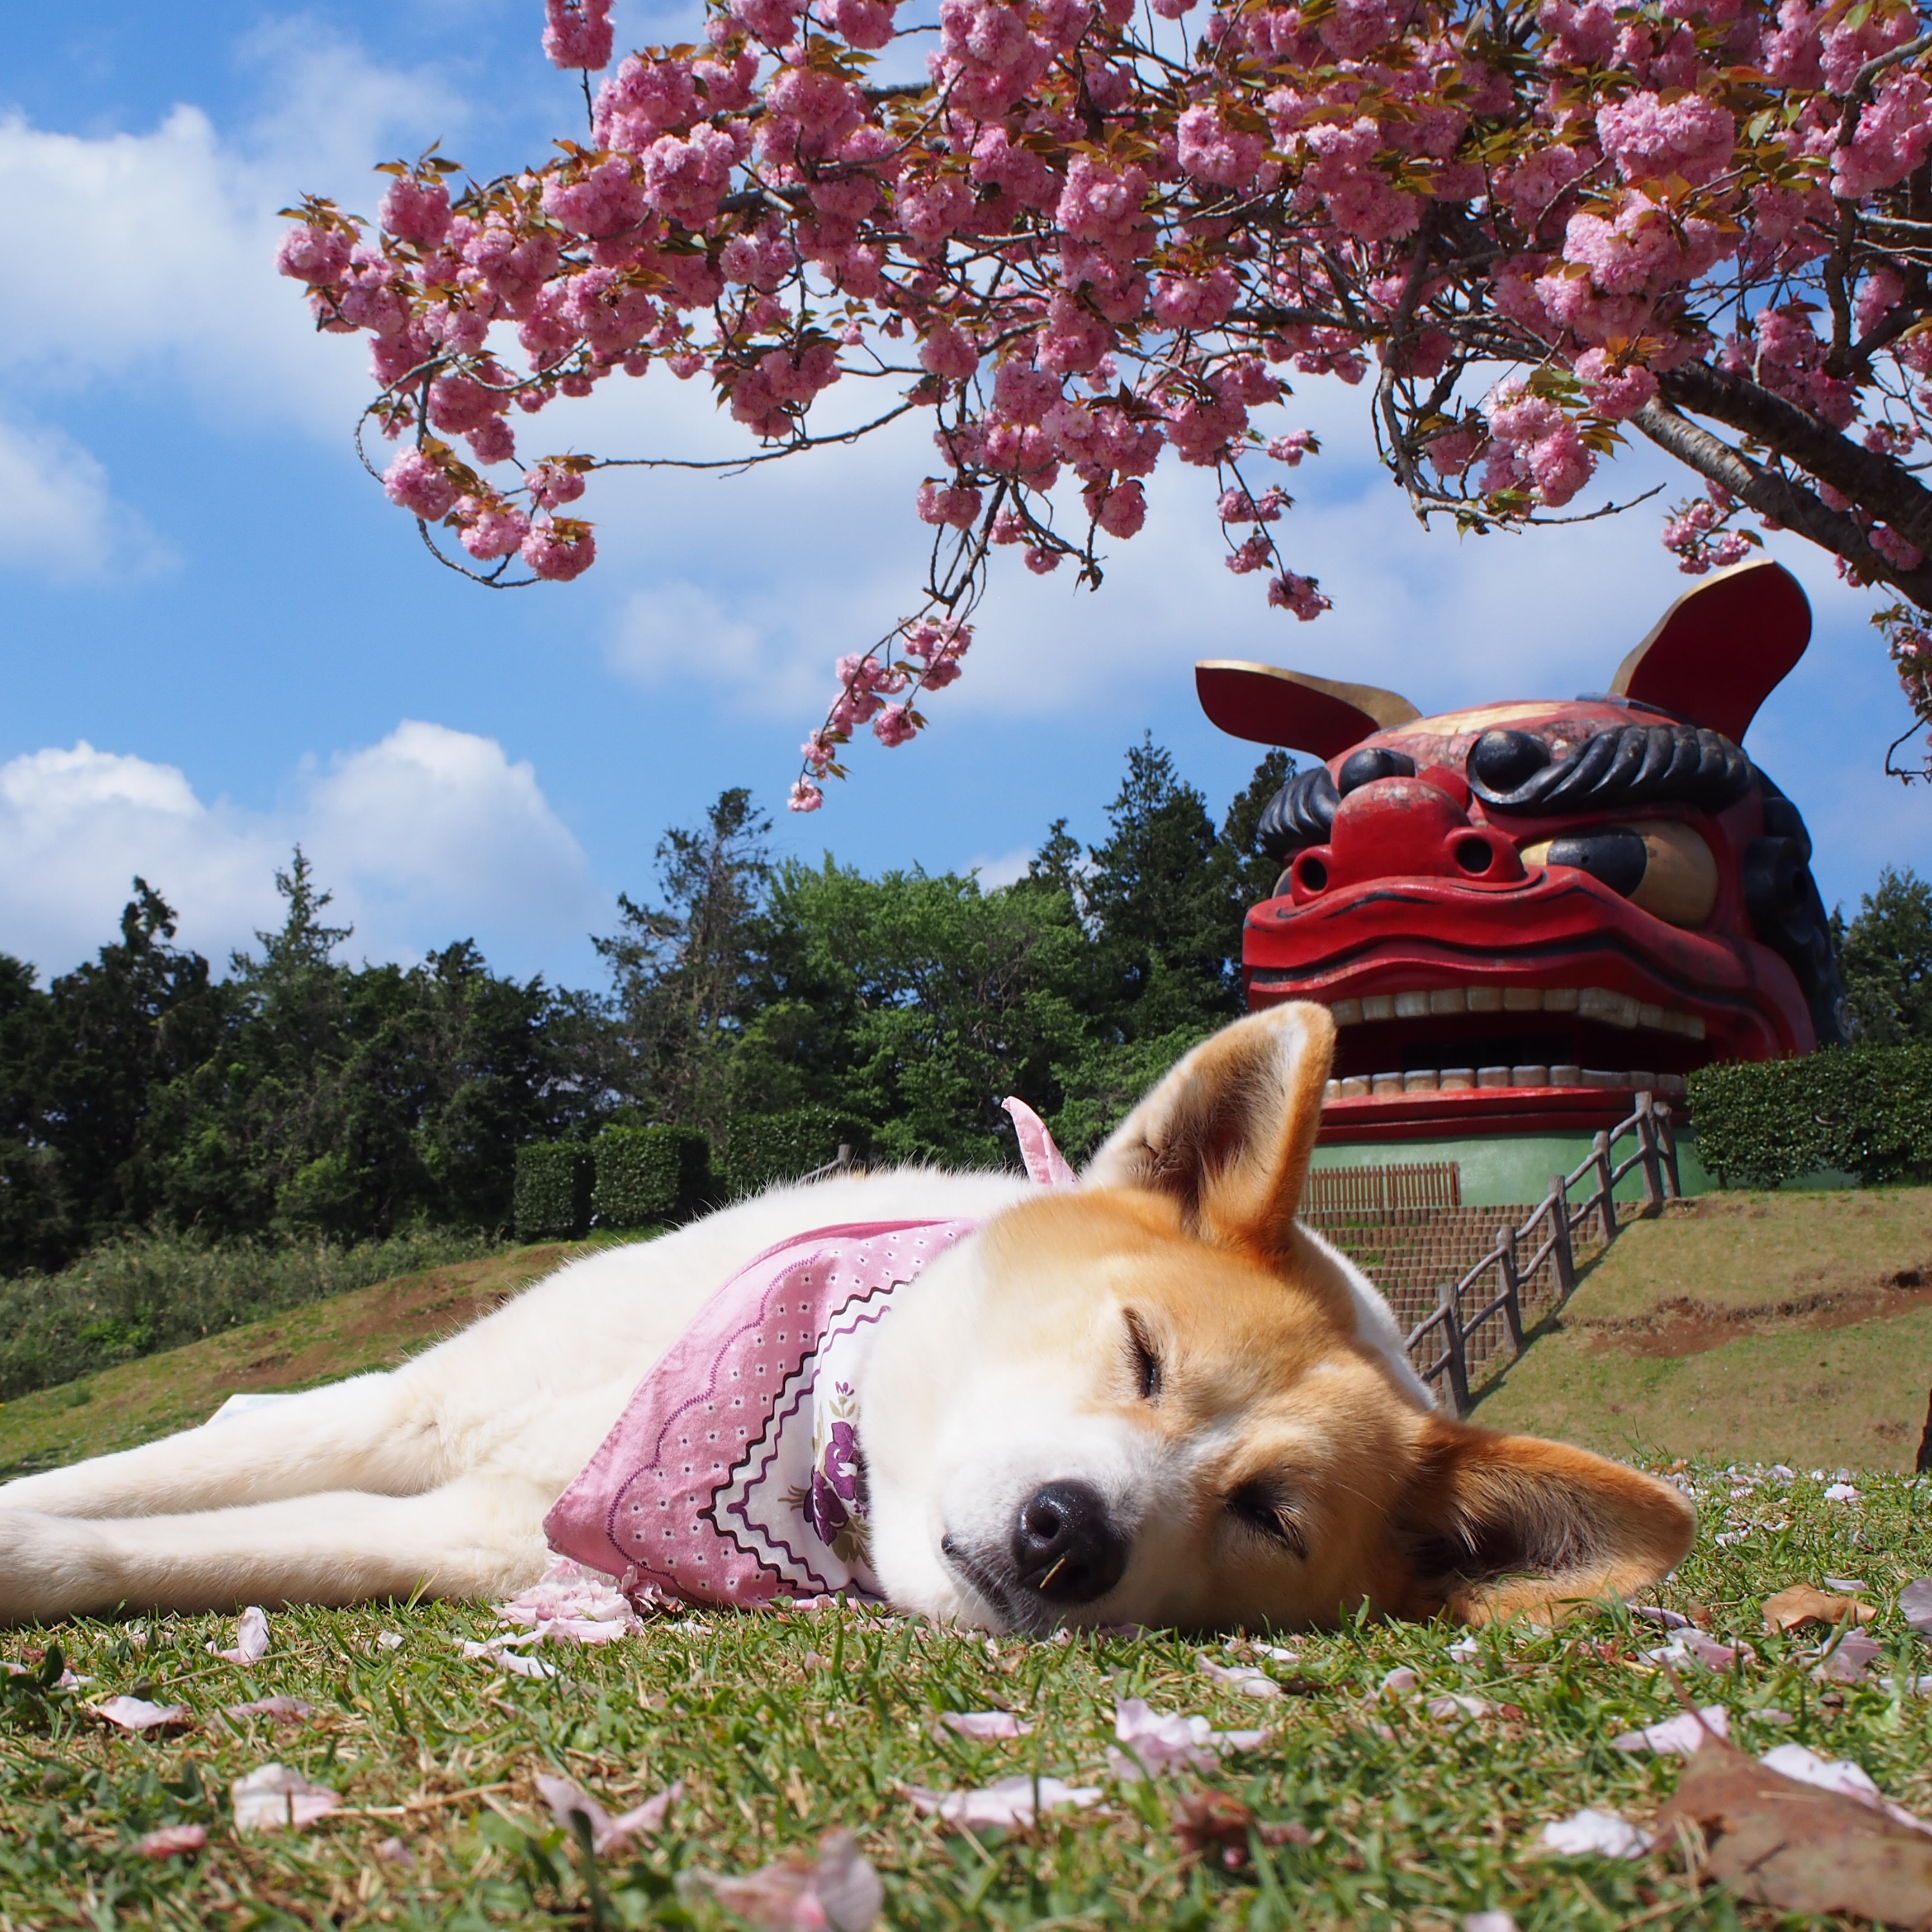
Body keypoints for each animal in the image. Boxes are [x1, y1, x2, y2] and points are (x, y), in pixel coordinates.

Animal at [0, 1012, 1692, 1630]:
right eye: (1141, 1350)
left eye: (1268, 1513)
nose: (1068, 1536)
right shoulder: (408, 1412)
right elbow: (134, 1474)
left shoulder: (469, 1534)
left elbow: (164, 1545)